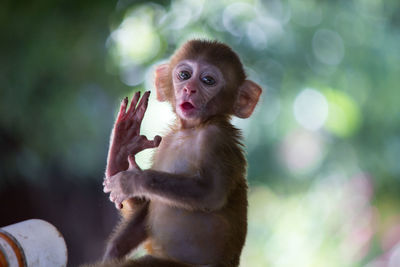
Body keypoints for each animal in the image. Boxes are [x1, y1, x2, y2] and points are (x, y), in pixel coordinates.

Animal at [101, 39, 260, 267]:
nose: (189, 89)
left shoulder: (217, 138)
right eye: (184, 75)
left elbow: (211, 193)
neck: (192, 129)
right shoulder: (165, 143)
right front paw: (121, 150)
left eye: (208, 80)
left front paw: (130, 180)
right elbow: (145, 209)